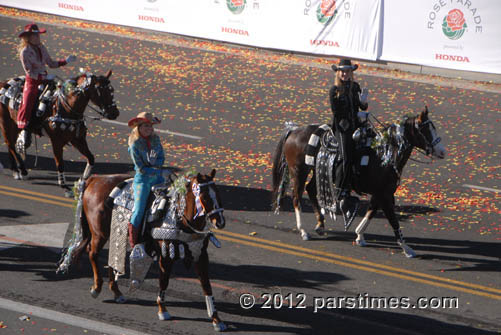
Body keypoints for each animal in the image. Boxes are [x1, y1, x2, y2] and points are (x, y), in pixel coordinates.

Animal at [59, 171, 229, 334]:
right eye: (204, 196)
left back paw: (117, 292)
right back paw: (96, 288)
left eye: (218, 193)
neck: (180, 218)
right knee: (92, 253)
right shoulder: (165, 256)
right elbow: (164, 281)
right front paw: (162, 310)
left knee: (112, 258)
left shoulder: (200, 255)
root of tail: (94, 179)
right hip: (99, 233)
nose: (220, 222)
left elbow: (207, 286)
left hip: (113, 233)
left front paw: (217, 320)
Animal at [272, 107, 444, 258]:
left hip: (317, 172)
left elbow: (371, 211)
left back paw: (320, 225)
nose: (442, 152)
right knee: (296, 197)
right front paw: (407, 248)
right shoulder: (385, 195)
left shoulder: (381, 193)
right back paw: (303, 231)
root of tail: (293, 130)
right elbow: (393, 220)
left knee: (311, 190)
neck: (383, 156)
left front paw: (359, 235)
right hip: (299, 172)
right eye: (425, 130)